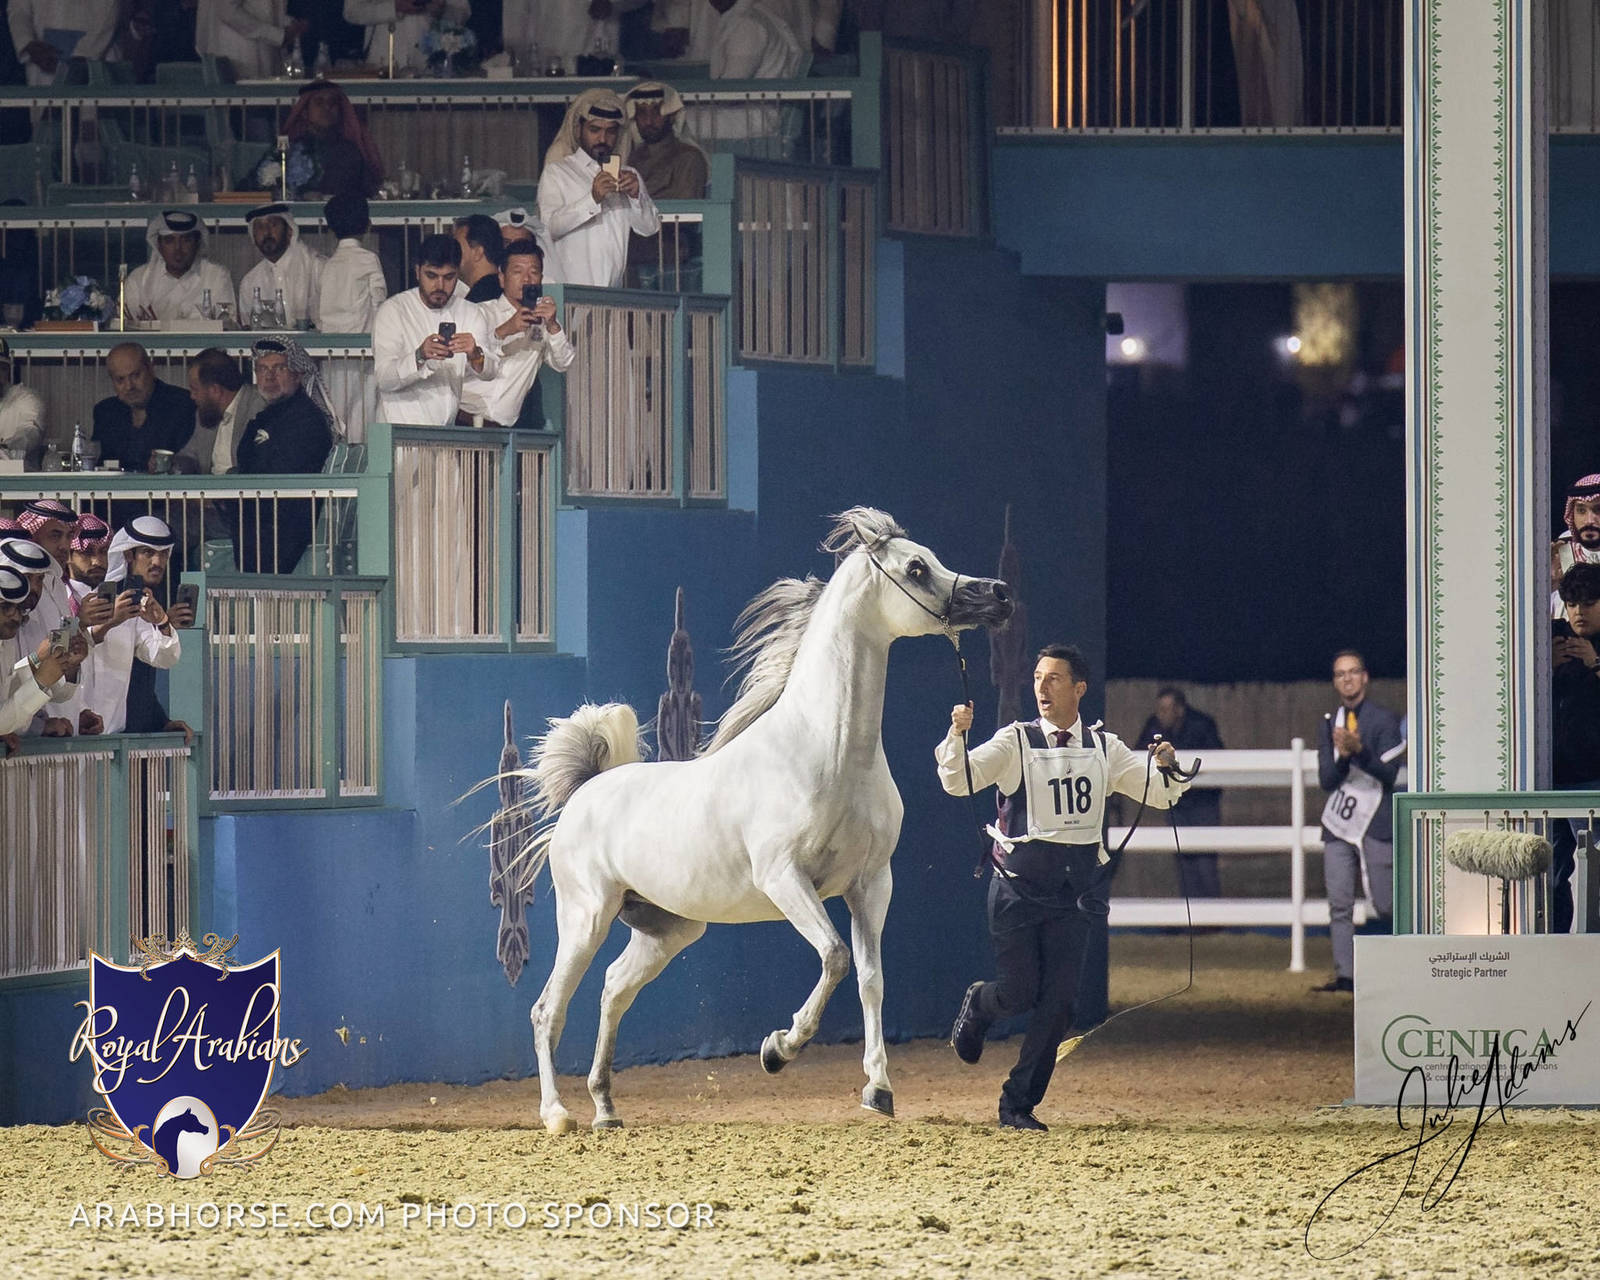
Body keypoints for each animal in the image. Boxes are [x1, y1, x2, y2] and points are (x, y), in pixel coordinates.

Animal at [509, 507, 1013, 1133]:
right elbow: (834, 957)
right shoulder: (785, 879)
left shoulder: (871, 885)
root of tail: (585, 790)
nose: (999, 595)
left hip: (666, 929)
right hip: (586, 918)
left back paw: (605, 1108)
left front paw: (878, 1090)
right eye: (916, 568)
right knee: (546, 1009)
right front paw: (779, 1049)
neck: (829, 751)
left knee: (612, 991)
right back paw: (557, 1114)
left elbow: (870, 978)